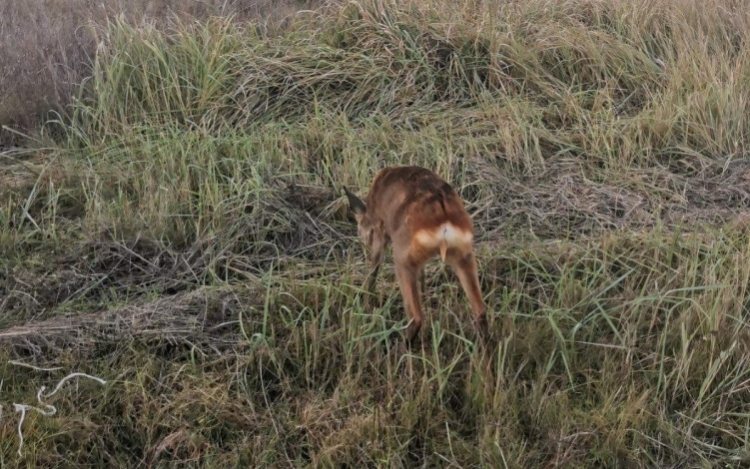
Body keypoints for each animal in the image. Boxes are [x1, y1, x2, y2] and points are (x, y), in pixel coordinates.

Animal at [344, 165, 490, 344]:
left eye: (359, 229)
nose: (364, 242)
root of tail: (444, 222)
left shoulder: (380, 229)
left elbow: (374, 267)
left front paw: (366, 301)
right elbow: (423, 275)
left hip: (403, 258)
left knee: (416, 317)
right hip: (463, 255)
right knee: (481, 310)